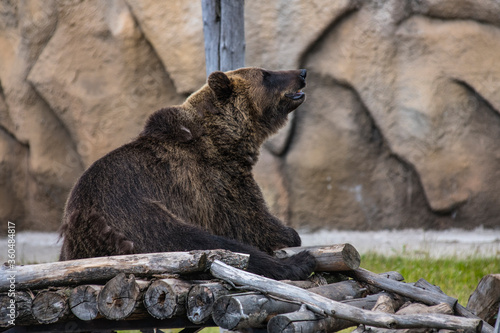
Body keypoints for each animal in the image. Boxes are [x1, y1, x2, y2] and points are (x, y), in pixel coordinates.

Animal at [59, 67, 316, 280]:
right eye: (266, 74)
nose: (302, 73)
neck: (225, 138)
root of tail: (82, 219)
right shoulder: (216, 179)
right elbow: (250, 220)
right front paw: (290, 234)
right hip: (133, 212)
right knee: (199, 243)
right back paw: (299, 262)